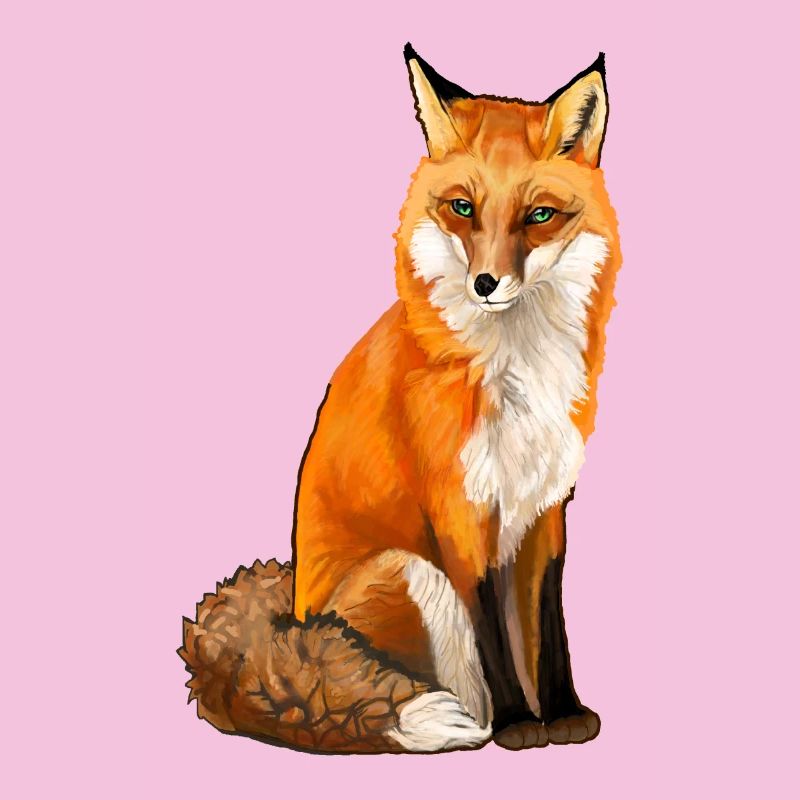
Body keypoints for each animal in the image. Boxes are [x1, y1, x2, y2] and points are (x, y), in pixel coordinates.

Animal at [181, 44, 621, 755]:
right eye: (463, 208)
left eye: (539, 216)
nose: (486, 283)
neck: (515, 369)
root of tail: (290, 617)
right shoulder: (458, 511)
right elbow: (494, 634)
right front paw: (521, 724)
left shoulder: (545, 507)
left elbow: (548, 626)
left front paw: (563, 712)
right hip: (411, 570)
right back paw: (473, 722)